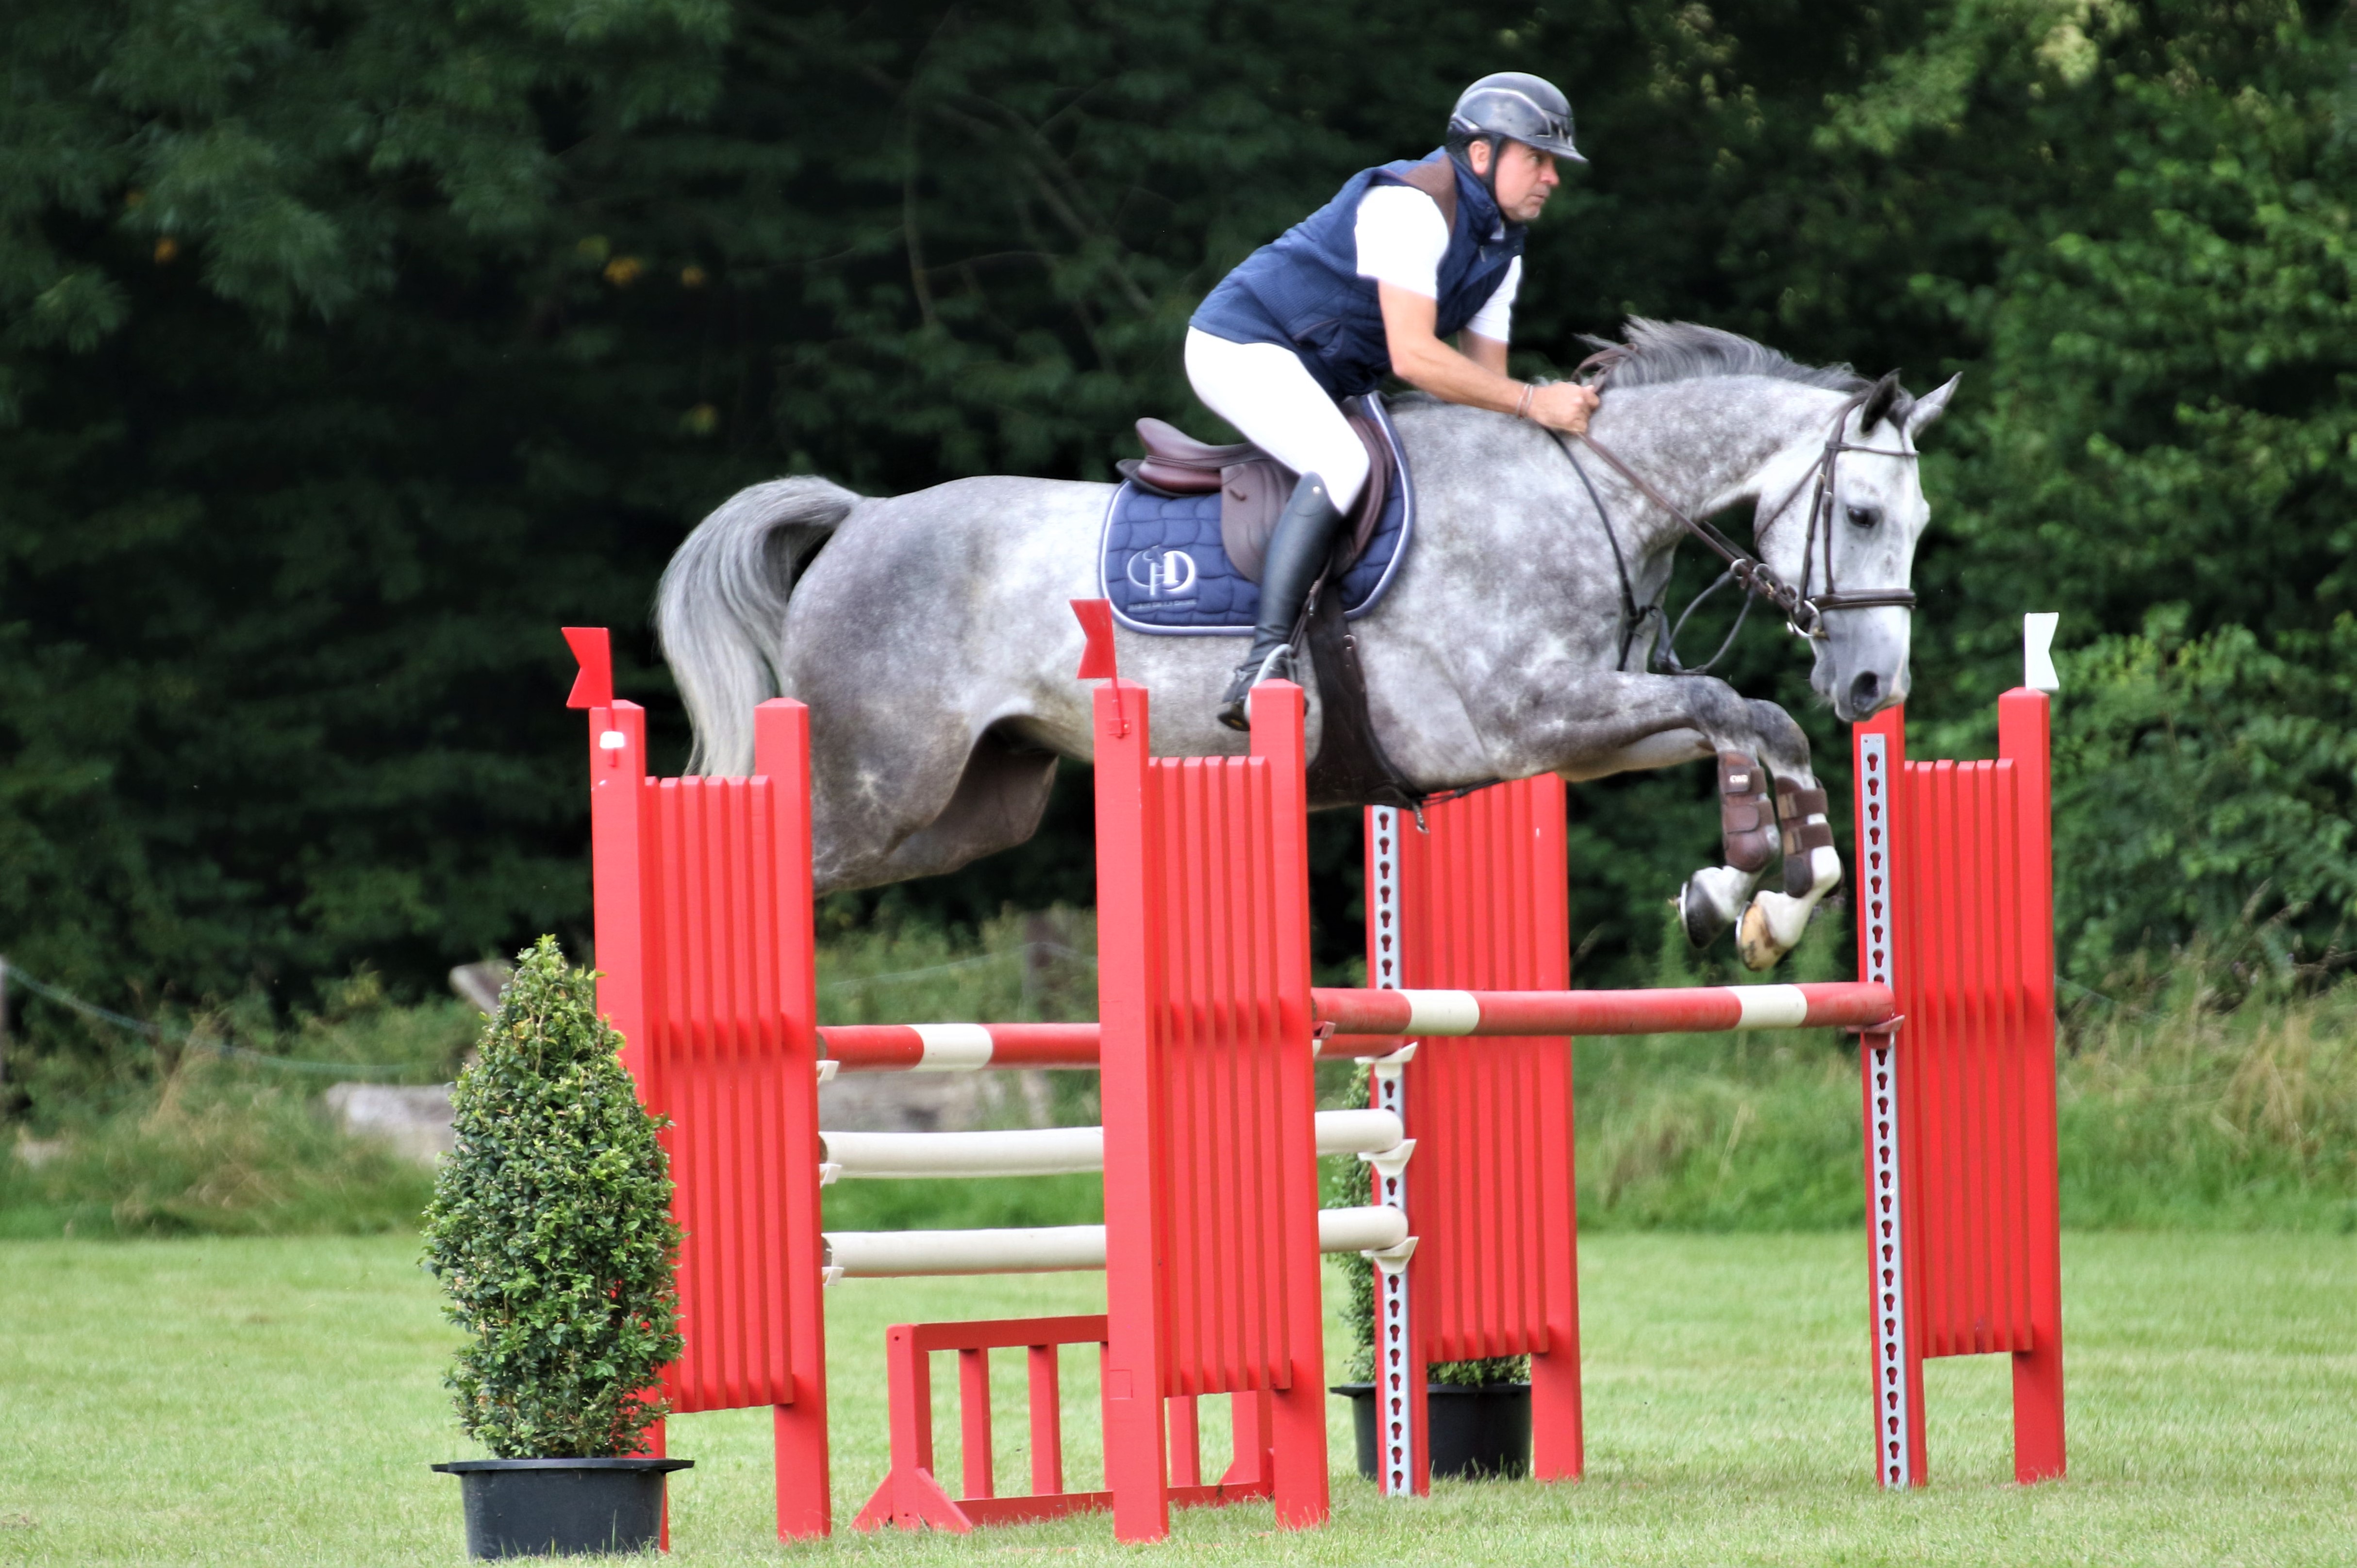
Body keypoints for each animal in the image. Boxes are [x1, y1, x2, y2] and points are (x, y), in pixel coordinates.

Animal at [654, 320, 1958, 970]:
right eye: (1858, 514)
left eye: (1917, 521)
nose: (1872, 683)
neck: (1580, 495)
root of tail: (860, 516)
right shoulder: (1526, 719)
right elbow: (1735, 708)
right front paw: (1748, 885)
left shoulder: (1579, 732)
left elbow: (1753, 723)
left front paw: (1755, 897)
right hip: (879, 786)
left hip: (973, 808)